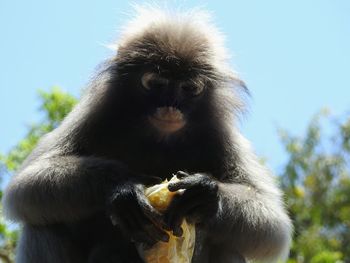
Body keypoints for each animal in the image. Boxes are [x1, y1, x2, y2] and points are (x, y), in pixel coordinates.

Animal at [2, 6, 292, 263]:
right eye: (157, 83)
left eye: (188, 88)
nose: (171, 106)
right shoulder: (92, 112)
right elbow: (23, 187)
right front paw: (124, 189)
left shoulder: (224, 134)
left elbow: (274, 226)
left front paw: (205, 194)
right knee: (42, 224)